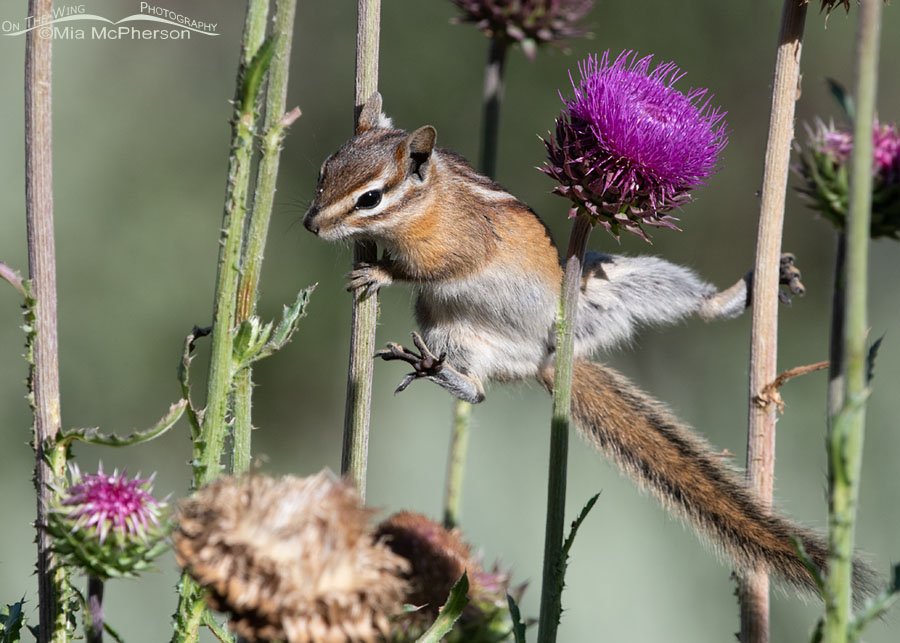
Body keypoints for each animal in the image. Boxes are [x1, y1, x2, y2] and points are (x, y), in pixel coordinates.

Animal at [303, 93, 876, 601]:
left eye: (370, 198)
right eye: (323, 171)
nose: (311, 223)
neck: (430, 202)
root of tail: (549, 359)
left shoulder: (455, 246)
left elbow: (425, 269)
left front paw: (378, 271)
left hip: (601, 289)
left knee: (694, 306)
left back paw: (739, 294)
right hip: (454, 328)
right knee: (477, 388)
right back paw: (435, 368)